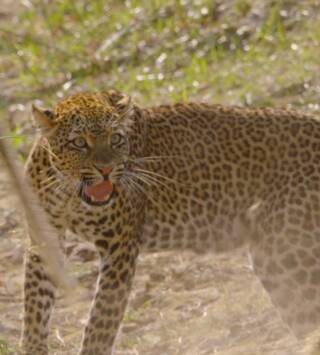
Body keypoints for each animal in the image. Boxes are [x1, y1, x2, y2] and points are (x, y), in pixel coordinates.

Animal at [22, 89, 320, 355]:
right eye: (79, 143)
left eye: (116, 139)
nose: (106, 170)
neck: (70, 193)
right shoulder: (43, 239)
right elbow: (35, 306)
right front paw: (34, 347)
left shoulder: (120, 247)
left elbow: (101, 322)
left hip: (285, 250)